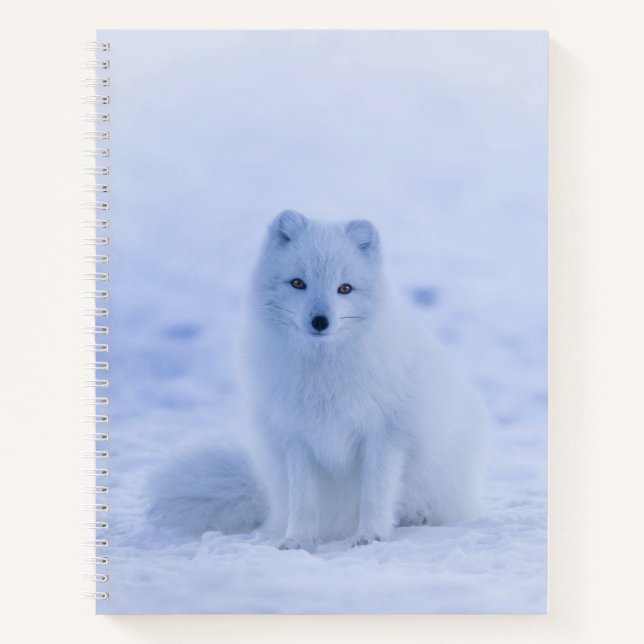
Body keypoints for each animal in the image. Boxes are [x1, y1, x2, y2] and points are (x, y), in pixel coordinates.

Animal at [149, 211, 488, 550]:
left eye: (345, 288)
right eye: (298, 283)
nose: (320, 321)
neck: (323, 372)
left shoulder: (385, 435)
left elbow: (375, 494)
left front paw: (370, 535)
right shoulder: (297, 438)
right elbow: (303, 501)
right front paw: (297, 541)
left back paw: (416, 517)